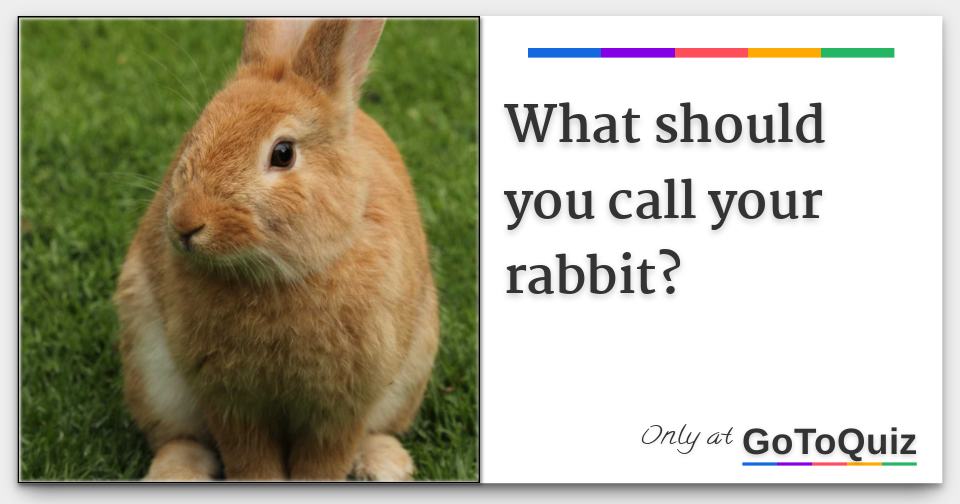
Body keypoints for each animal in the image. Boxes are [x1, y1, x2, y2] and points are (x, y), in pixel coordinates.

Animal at [114, 18, 439, 481]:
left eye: (283, 153)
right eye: (194, 134)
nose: (186, 224)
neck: (278, 277)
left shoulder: (342, 408)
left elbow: (324, 462)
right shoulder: (231, 403)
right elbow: (250, 460)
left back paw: (384, 465)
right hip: (152, 373)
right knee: (179, 437)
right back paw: (175, 473)